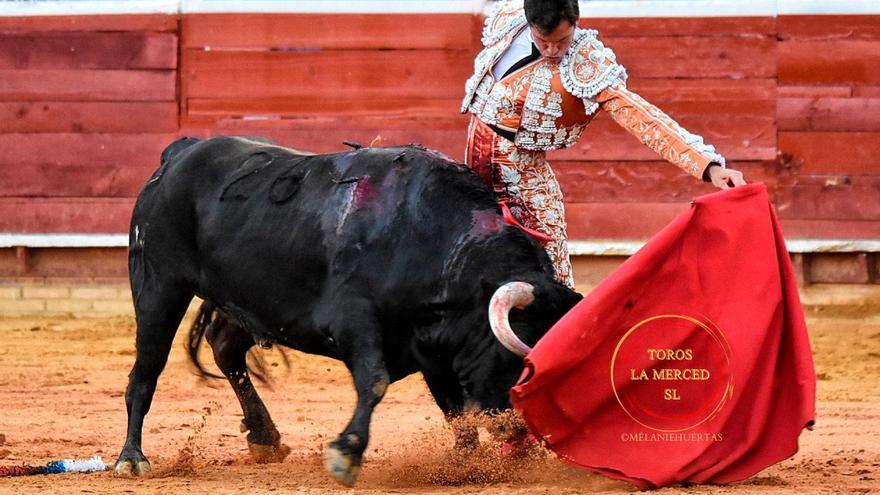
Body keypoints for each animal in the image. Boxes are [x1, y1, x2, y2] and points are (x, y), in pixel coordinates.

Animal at [118, 138, 584, 486]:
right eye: (517, 359)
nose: (517, 428)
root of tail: (180, 152)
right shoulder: (354, 322)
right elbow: (375, 382)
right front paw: (346, 454)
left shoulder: (433, 347)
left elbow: (452, 407)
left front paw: (464, 465)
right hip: (159, 283)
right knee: (147, 368)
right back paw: (132, 458)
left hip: (248, 295)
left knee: (225, 347)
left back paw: (265, 436)